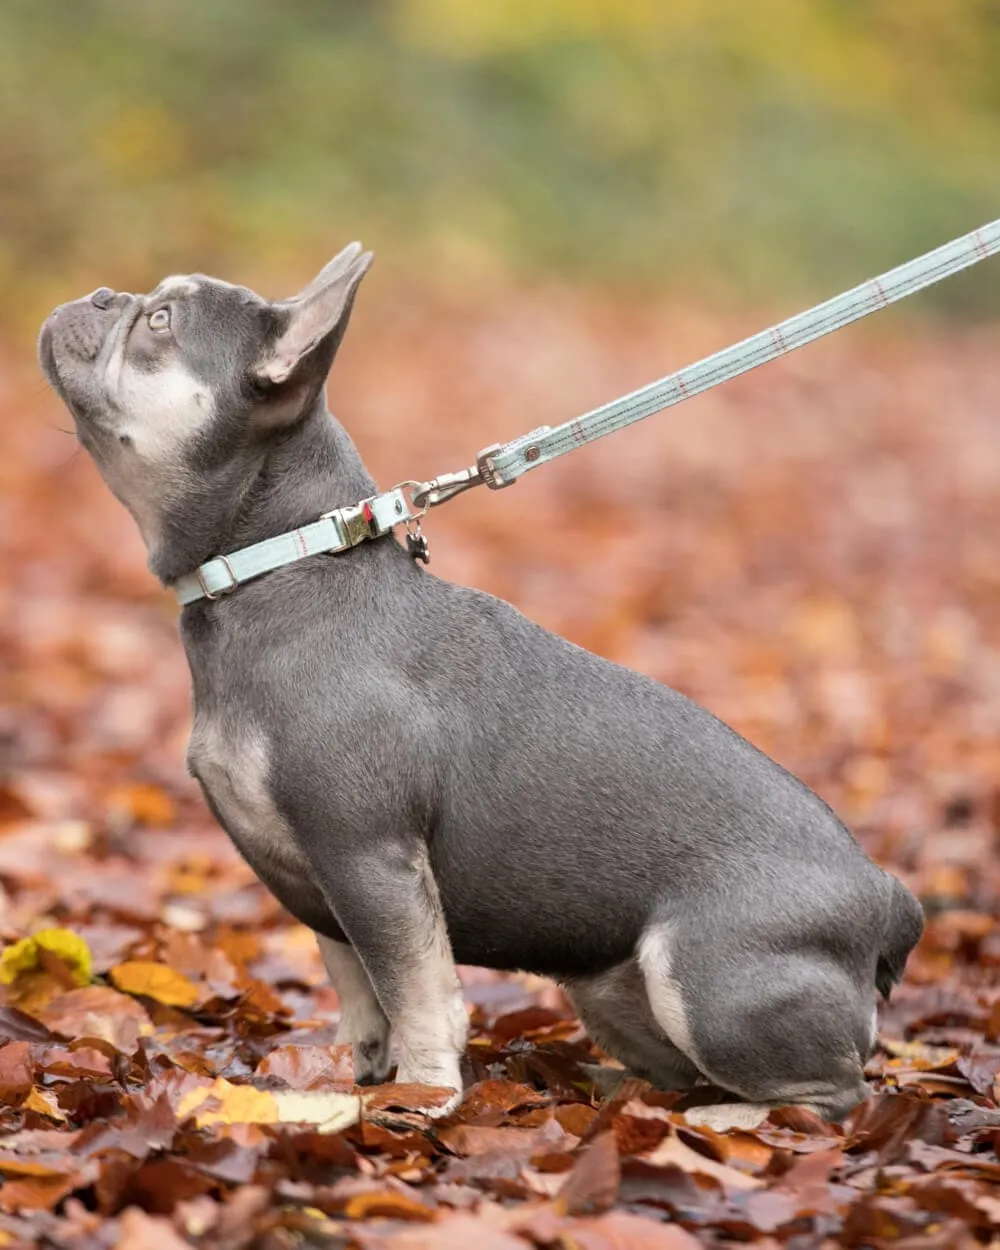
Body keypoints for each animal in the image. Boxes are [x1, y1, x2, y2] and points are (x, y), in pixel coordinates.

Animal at [40, 241, 930, 1125]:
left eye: (160, 320)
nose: (98, 293)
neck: (280, 562)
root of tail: (886, 895)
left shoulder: (370, 858)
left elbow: (419, 992)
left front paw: (421, 1096)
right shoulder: (325, 885)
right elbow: (359, 990)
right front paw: (346, 1075)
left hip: (708, 975)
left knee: (828, 1096)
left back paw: (722, 1122)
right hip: (614, 992)